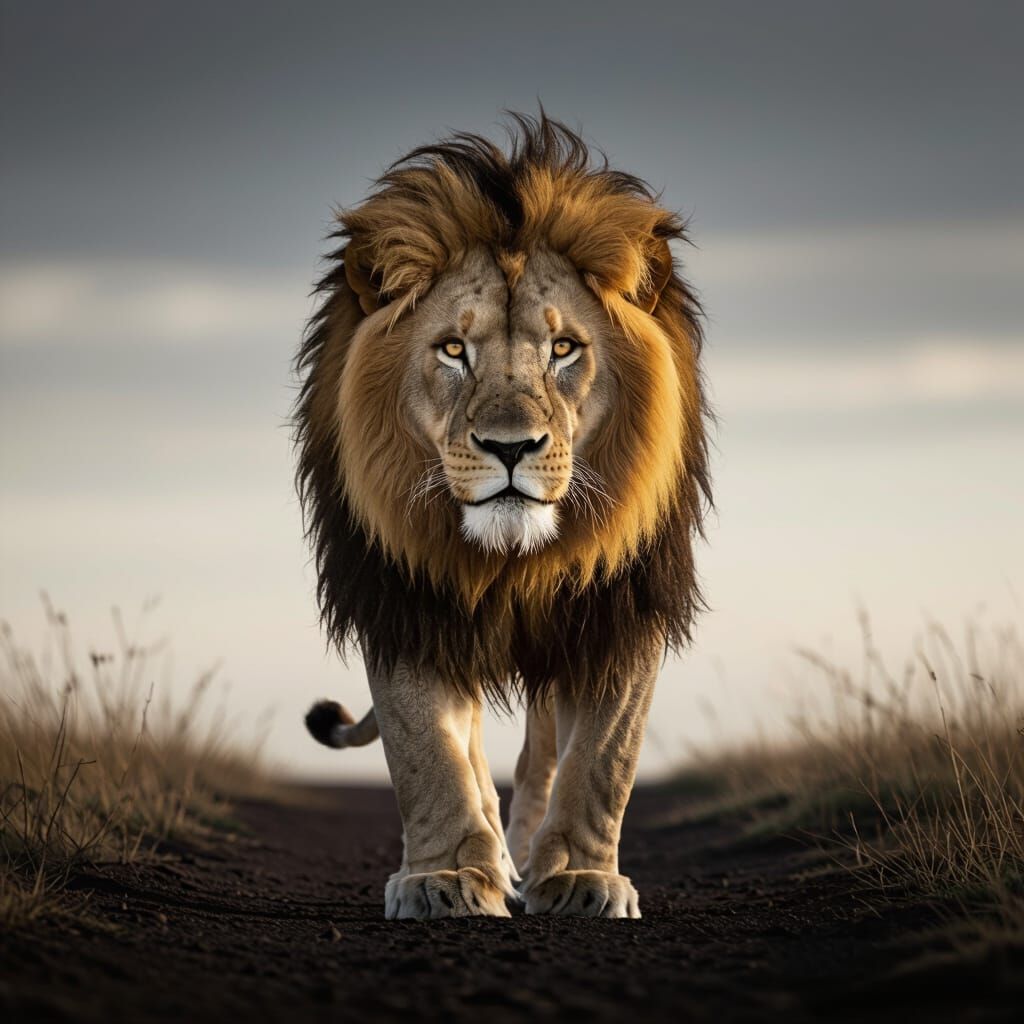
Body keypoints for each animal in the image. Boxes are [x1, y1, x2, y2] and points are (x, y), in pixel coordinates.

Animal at [295, 113, 710, 919]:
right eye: (454, 349)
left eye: (564, 349)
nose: (511, 447)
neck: (510, 562)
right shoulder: (404, 596)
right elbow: (426, 749)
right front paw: (448, 875)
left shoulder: (619, 608)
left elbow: (603, 759)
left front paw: (581, 879)